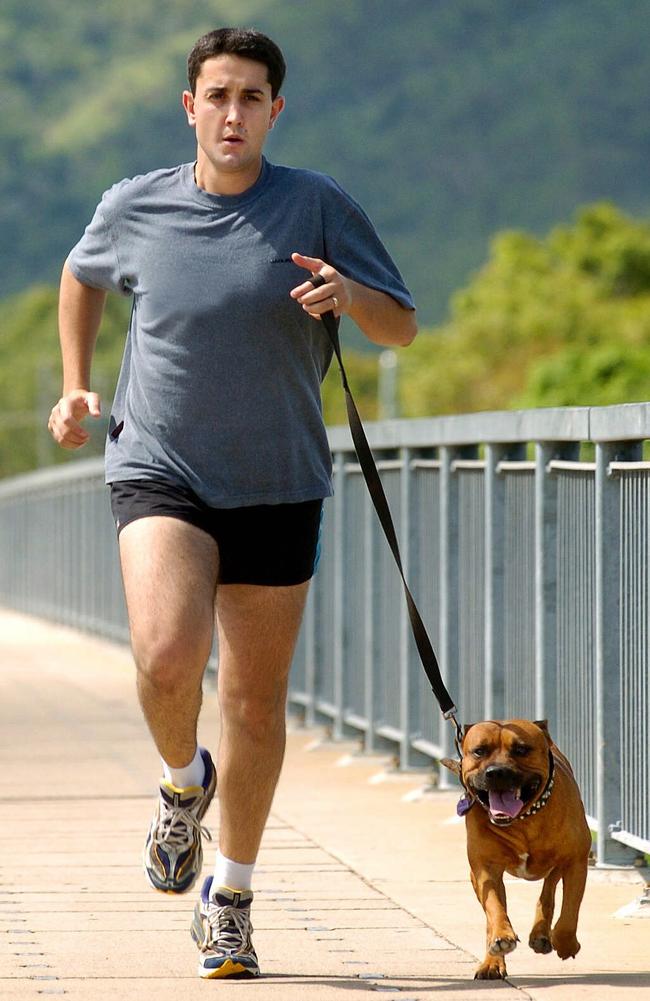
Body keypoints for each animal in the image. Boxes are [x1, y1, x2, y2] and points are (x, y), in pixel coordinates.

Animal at [442, 716, 588, 980]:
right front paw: (501, 937)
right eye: (479, 751)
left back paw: (542, 934)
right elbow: (494, 907)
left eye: (521, 749)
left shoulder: (576, 862)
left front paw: (565, 943)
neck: (523, 820)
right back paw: (492, 960)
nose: (497, 772)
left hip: (559, 864)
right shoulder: (485, 869)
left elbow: (569, 913)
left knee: (549, 891)